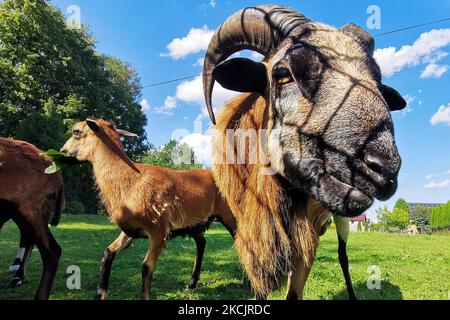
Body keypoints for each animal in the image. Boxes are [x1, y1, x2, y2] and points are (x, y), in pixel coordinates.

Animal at [61, 118, 237, 300]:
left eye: (76, 131)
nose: (61, 151)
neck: (131, 180)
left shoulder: (158, 230)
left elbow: (146, 267)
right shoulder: (130, 229)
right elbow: (107, 253)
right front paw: (100, 294)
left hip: (228, 215)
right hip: (193, 224)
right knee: (202, 243)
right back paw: (191, 283)